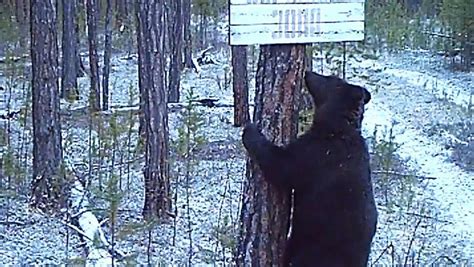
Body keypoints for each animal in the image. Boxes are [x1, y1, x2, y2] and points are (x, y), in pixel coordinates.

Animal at [243, 71, 376, 267]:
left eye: (330, 78)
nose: (308, 73)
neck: (338, 129)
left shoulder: (316, 156)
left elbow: (281, 166)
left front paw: (250, 131)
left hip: (314, 249)